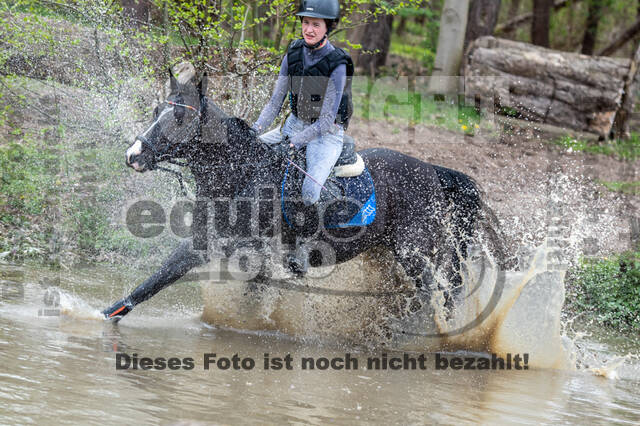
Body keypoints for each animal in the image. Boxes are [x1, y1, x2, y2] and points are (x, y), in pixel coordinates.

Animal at [104, 63, 504, 322]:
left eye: (180, 118)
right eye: (157, 110)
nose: (133, 155)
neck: (241, 174)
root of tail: (431, 170)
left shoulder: (260, 256)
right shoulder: (204, 244)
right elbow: (156, 280)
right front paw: (105, 314)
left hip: (417, 249)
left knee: (446, 289)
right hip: (386, 254)